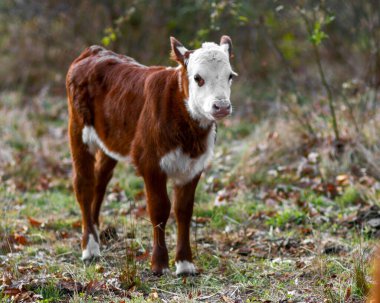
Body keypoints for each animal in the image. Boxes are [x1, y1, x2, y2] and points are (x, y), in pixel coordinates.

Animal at [67, 35, 236, 276]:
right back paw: (90, 248)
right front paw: (159, 264)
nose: (221, 106)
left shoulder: (194, 166)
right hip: (78, 128)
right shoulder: (150, 162)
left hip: (110, 141)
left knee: (100, 180)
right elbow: (159, 208)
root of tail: (93, 51)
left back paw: (97, 231)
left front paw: (185, 264)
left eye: (230, 76)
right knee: (84, 184)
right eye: (198, 78)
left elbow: (184, 210)